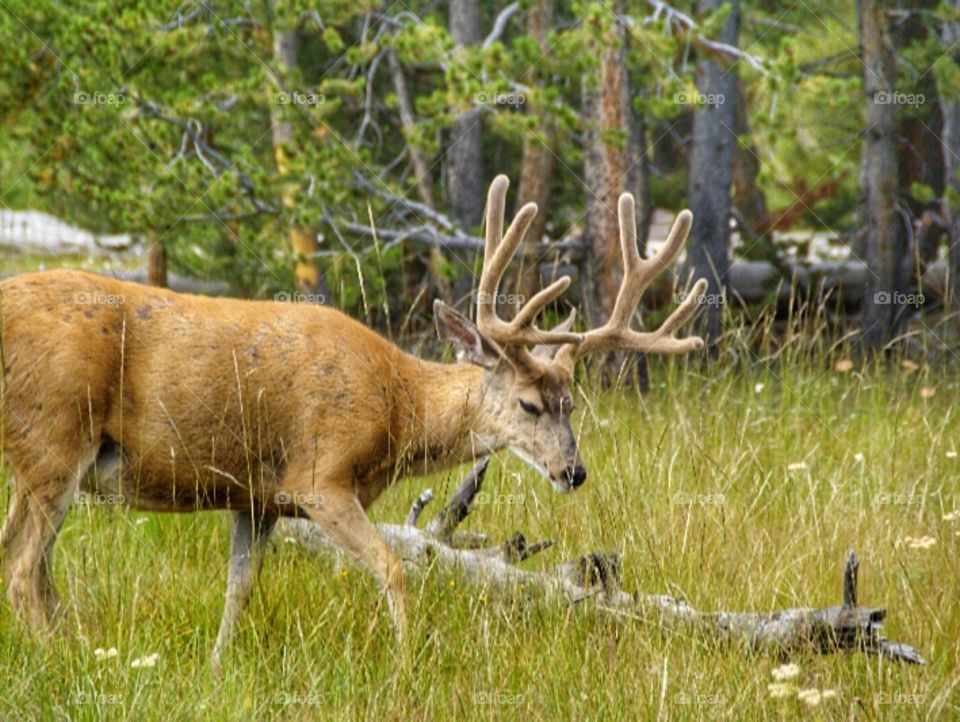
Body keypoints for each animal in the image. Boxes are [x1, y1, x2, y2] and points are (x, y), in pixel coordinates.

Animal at [0, 175, 706, 670]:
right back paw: (57, 657)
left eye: (572, 403)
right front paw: (407, 662)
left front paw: (217, 667)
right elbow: (394, 567)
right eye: (530, 404)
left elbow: (238, 590)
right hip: (56, 435)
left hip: (38, 460)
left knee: (22, 558)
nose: (573, 471)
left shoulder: (256, 497)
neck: (397, 407)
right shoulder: (319, 475)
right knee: (23, 568)